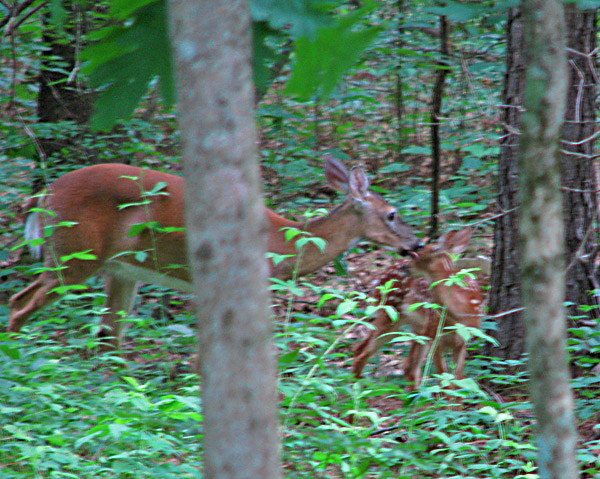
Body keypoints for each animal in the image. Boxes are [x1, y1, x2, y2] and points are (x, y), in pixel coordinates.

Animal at [9, 158, 422, 348]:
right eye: (392, 214)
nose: (416, 244)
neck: (283, 242)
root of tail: (43, 195)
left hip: (120, 270)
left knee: (110, 331)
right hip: (75, 253)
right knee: (20, 301)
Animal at [352, 229, 482, 390]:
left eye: (425, 250)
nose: (407, 266)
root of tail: (378, 280)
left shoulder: (463, 341)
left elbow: (458, 381)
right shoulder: (435, 336)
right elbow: (444, 381)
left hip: (416, 327)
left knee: (408, 366)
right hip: (390, 313)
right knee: (362, 351)